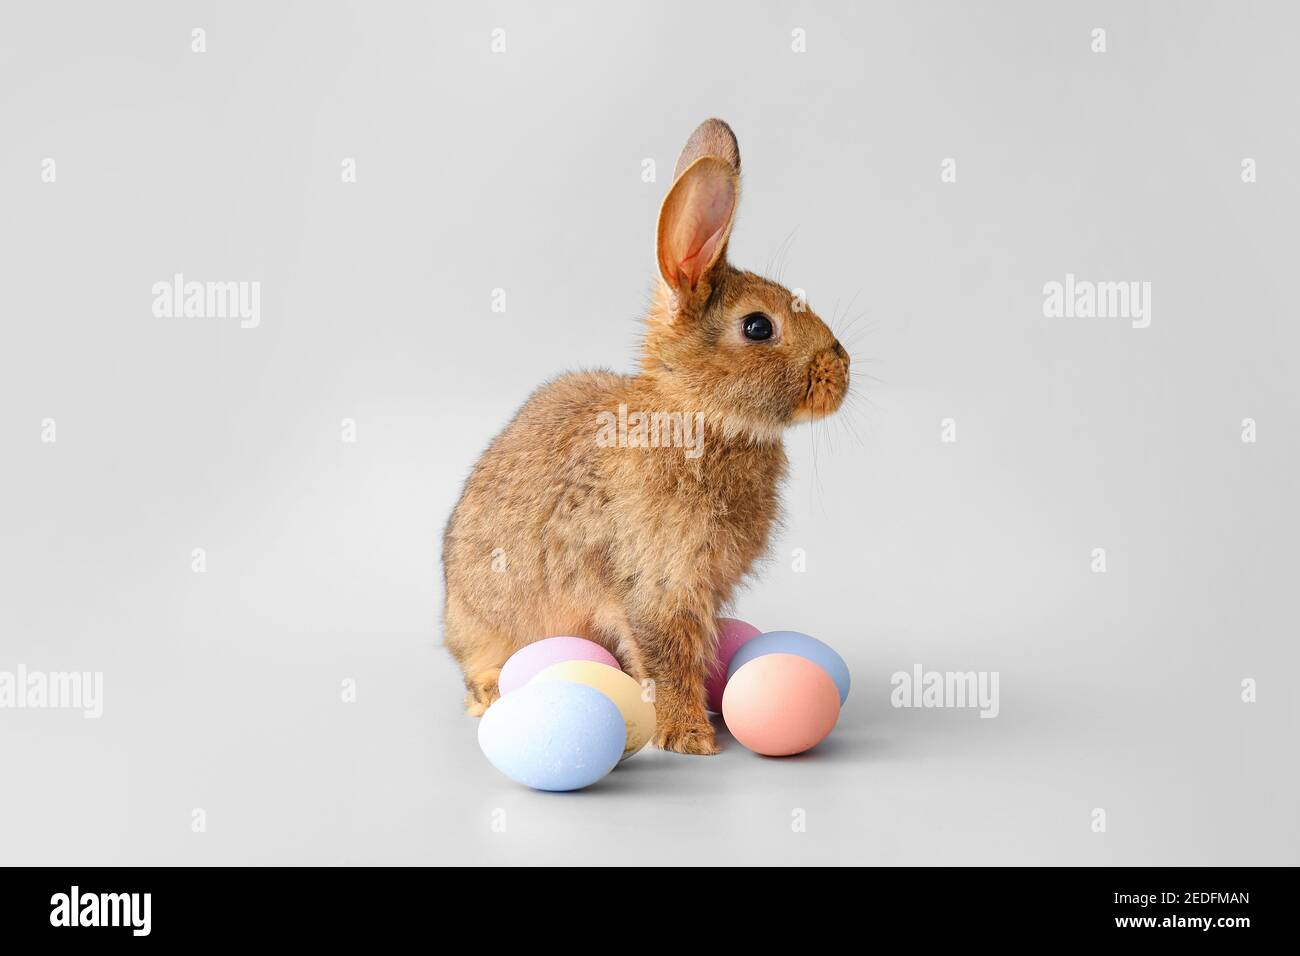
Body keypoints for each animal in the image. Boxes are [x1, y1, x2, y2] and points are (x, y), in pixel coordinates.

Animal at [442, 119, 850, 754]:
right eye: (758, 327)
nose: (842, 372)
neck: (695, 411)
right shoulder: (658, 582)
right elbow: (665, 657)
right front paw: (690, 738)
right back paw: (490, 693)